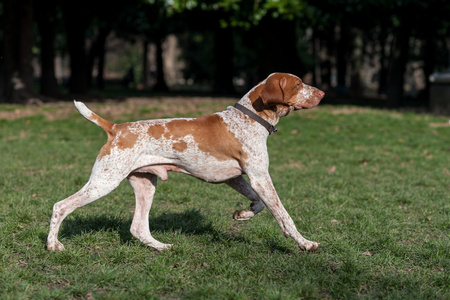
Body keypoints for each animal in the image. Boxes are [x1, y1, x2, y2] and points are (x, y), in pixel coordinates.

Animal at [46, 72, 324, 251]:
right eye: (299, 83)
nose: (322, 92)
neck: (249, 118)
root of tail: (115, 128)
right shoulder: (259, 177)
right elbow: (283, 215)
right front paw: (305, 243)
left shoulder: (237, 178)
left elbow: (258, 204)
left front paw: (242, 214)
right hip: (104, 181)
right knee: (61, 206)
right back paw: (52, 245)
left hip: (145, 185)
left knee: (138, 228)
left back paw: (161, 247)